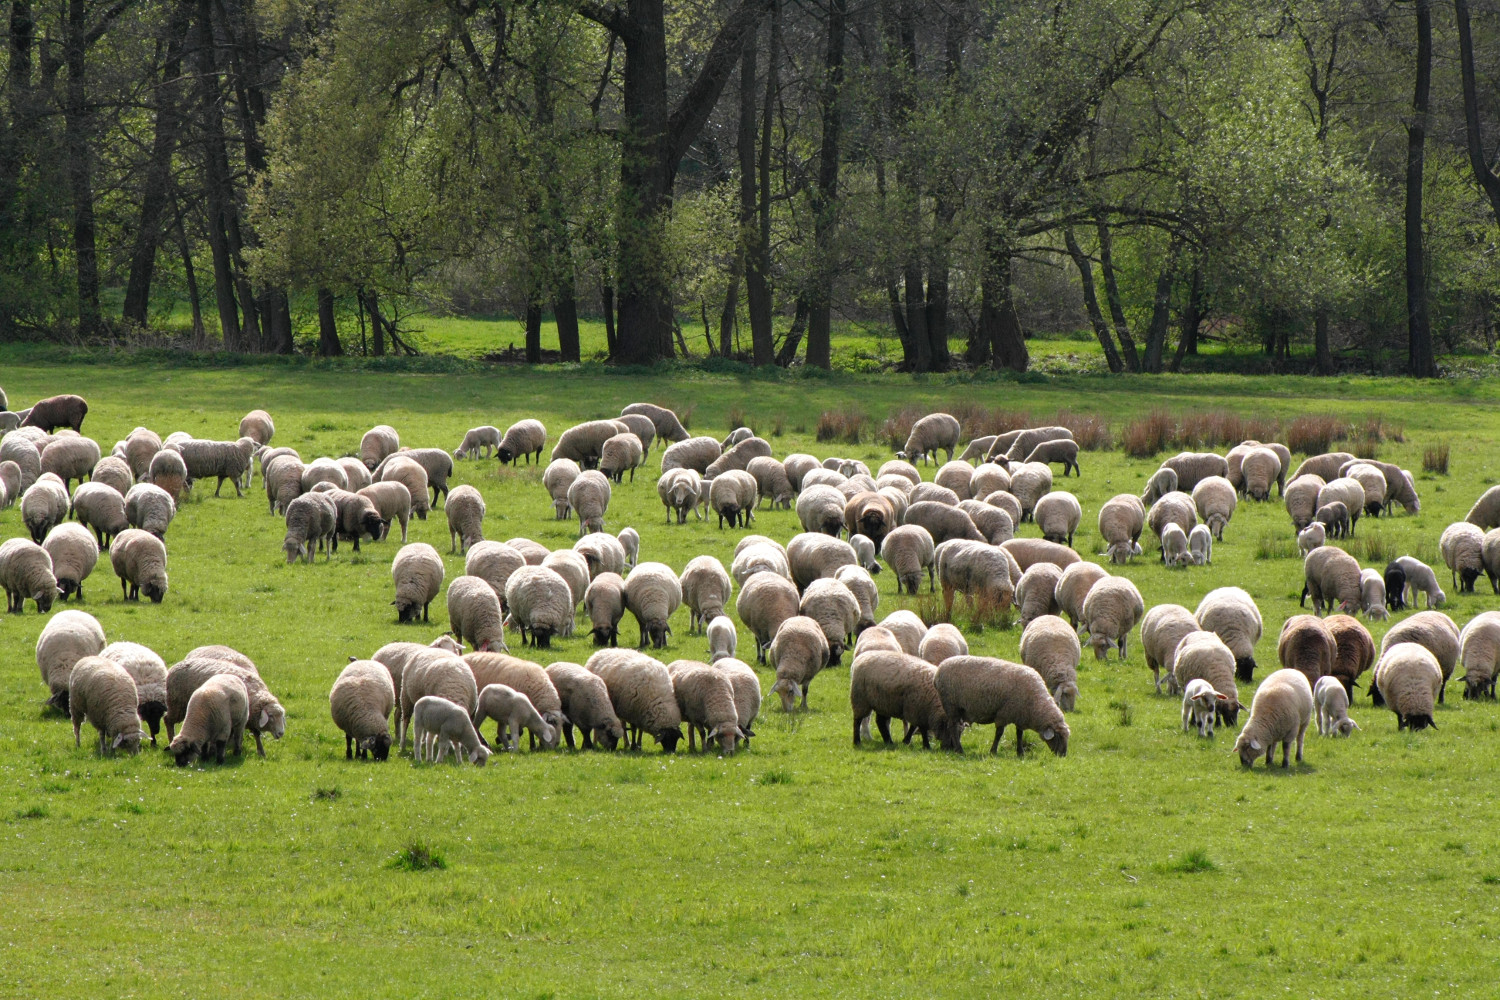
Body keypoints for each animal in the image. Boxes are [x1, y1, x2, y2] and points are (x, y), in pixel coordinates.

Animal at [934, 656, 1069, 757]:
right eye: (1058, 737)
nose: (1063, 755)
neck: (1035, 702)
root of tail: (940, 668)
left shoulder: (1020, 715)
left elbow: (1019, 734)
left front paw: (1020, 753)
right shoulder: (1004, 714)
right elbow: (999, 733)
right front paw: (993, 751)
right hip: (951, 705)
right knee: (953, 727)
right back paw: (959, 750)